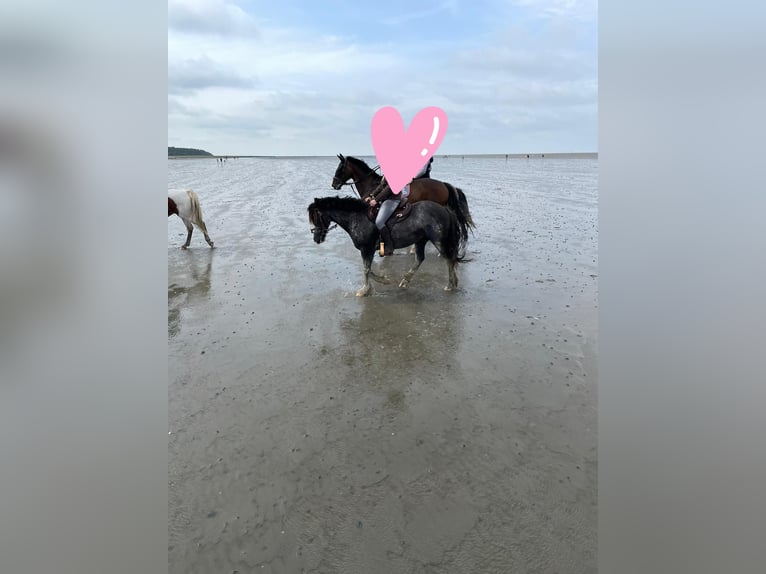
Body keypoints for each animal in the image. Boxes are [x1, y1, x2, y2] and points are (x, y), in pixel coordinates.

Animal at [308, 196, 464, 296]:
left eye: (316, 217)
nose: (316, 239)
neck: (357, 218)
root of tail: (444, 209)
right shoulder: (368, 250)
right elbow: (368, 269)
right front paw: (383, 280)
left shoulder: (366, 249)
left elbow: (366, 269)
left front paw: (365, 290)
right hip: (420, 240)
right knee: (420, 259)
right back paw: (405, 281)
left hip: (438, 241)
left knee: (449, 260)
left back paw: (450, 285)